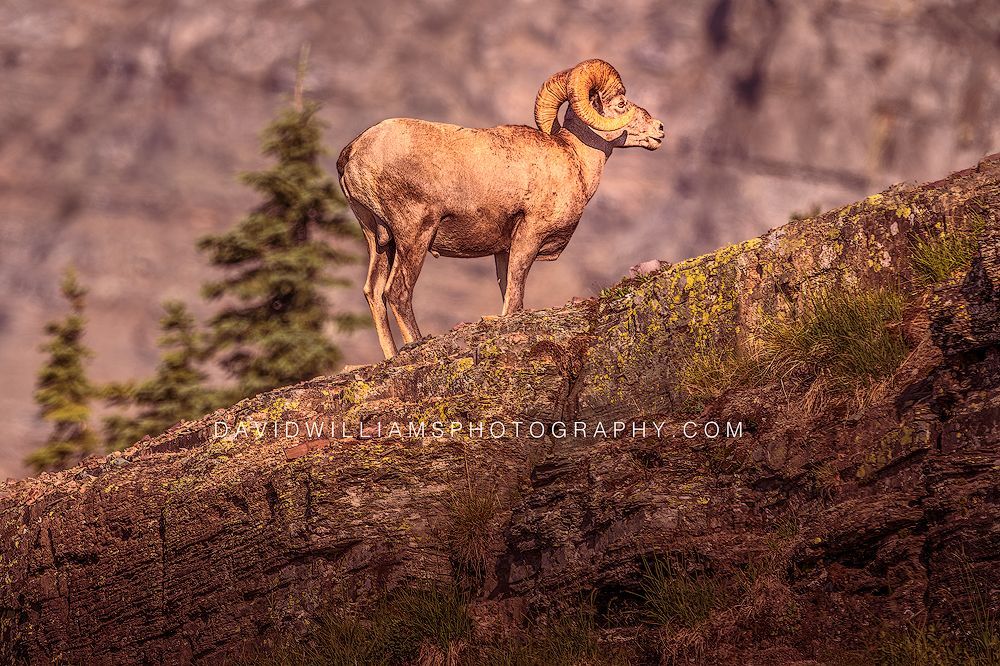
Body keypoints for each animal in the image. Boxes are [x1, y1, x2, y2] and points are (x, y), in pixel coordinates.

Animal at [337, 59, 665, 358]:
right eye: (621, 104)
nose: (660, 130)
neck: (573, 159)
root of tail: (353, 152)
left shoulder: (502, 251)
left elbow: (507, 291)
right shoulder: (528, 237)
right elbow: (515, 295)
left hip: (380, 240)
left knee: (373, 292)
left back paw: (391, 355)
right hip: (414, 235)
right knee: (398, 292)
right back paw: (416, 344)